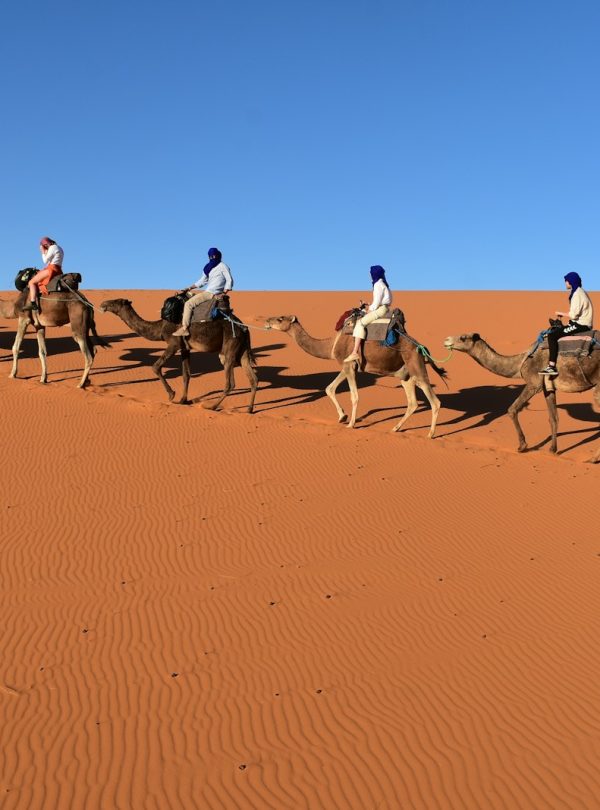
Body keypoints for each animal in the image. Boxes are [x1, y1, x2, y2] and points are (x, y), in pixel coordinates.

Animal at [100, 298, 258, 411]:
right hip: (242, 351)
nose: (102, 304)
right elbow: (186, 374)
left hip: (230, 348)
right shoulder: (185, 348)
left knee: (230, 383)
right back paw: (249, 409)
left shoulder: (173, 344)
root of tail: (244, 328)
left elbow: (155, 367)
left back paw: (212, 407)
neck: (160, 327)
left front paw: (171, 395)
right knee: (253, 379)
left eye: (115, 302)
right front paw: (183, 400)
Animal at [264, 315, 446, 435]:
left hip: (417, 367)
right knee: (413, 403)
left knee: (435, 401)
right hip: (405, 375)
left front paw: (351, 424)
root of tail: (421, 347)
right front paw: (342, 417)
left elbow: (354, 395)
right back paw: (395, 428)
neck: (331, 345)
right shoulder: (347, 365)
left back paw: (430, 434)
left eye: (280, 319)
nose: (267, 321)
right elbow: (329, 388)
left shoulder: (349, 366)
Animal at [443, 332, 600, 461]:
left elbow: (512, 409)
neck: (521, 362)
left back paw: (593, 459)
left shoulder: (533, 384)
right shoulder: (547, 387)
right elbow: (553, 418)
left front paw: (522, 446)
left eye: (463, 337)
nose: (446, 340)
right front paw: (552, 450)